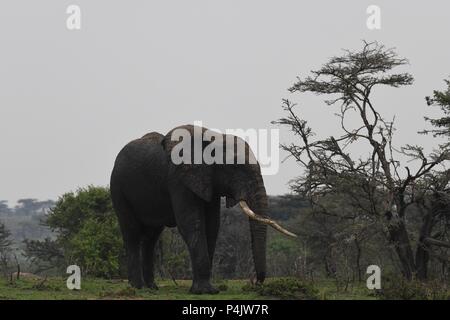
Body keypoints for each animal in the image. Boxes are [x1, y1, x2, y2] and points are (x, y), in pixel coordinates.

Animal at [110, 124, 296, 294]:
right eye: (234, 167)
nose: (255, 282)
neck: (213, 139)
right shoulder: (179, 179)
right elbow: (192, 224)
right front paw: (204, 291)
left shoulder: (209, 183)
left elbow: (212, 226)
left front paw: (205, 289)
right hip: (118, 189)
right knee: (132, 233)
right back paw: (137, 287)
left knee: (152, 237)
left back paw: (151, 288)